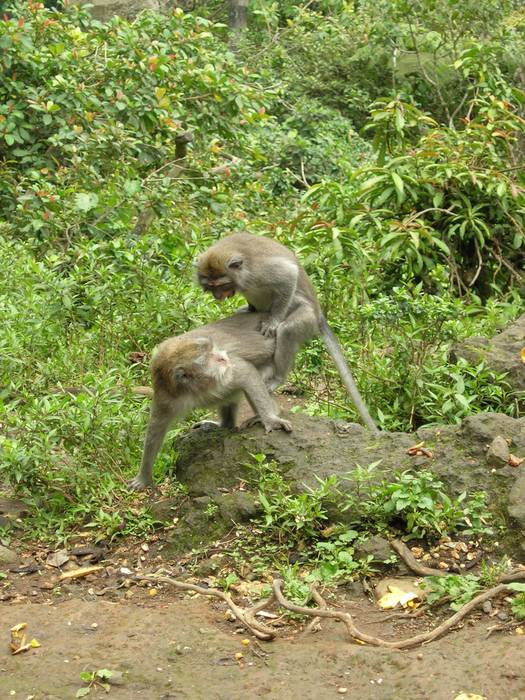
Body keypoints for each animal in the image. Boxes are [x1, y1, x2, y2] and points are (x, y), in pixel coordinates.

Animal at [127, 312, 290, 492]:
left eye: (212, 350)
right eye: (210, 356)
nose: (223, 356)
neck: (195, 387)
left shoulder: (229, 370)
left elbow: (246, 373)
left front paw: (271, 420)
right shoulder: (166, 395)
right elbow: (155, 430)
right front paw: (143, 478)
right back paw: (224, 425)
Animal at [194, 234, 378, 432]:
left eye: (221, 284)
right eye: (211, 286)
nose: (218, 297)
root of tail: (319, 314)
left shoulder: (258, 271)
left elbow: (288, 275)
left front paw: (273, 321)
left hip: (307, 317)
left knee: (288, 329)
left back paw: (278, 377)